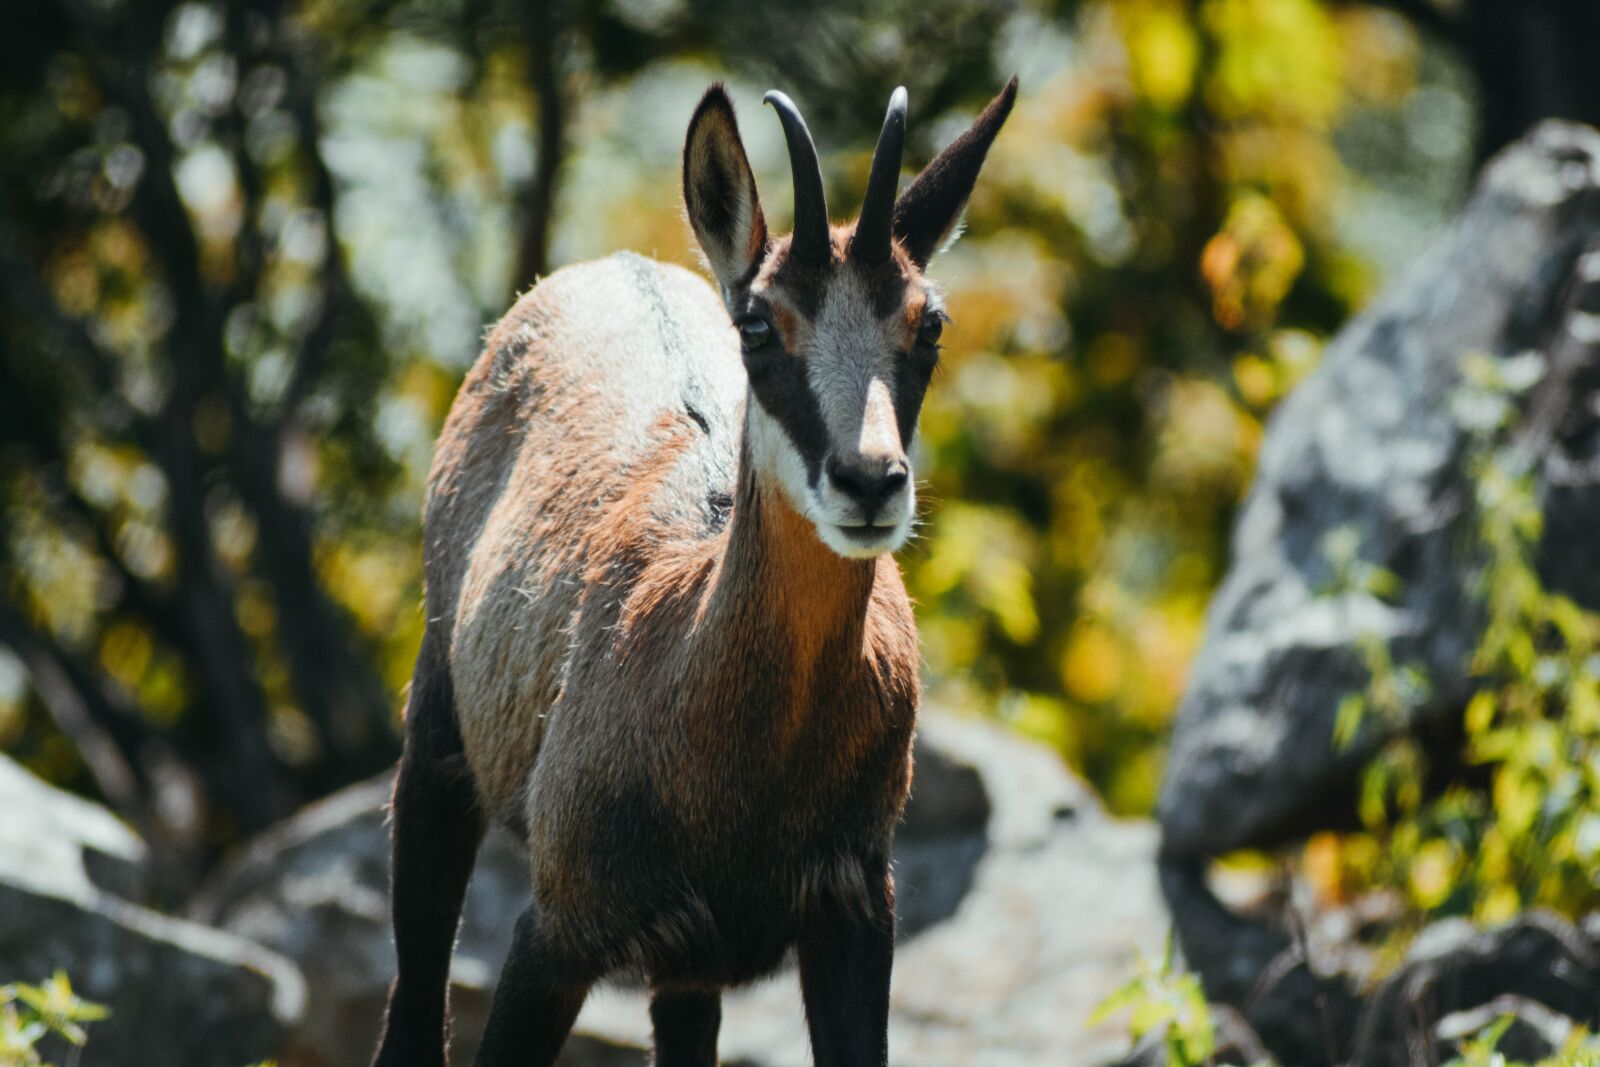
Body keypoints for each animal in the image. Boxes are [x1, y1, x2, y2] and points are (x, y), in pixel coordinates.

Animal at [370, 77, 1017, 1067]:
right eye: (758, 322)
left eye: (929, 323)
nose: (870, 481)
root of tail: (606, 267)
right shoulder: (556, 932)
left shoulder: (851, 913)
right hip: (439, 742)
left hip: (687, 969)